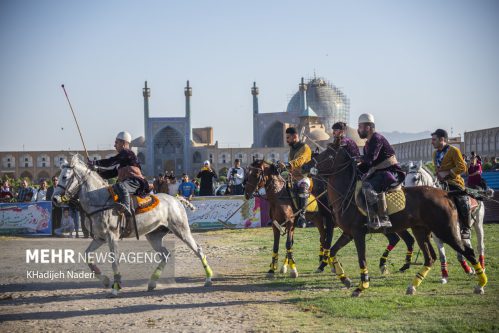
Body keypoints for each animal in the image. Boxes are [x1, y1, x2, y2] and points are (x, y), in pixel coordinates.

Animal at [52, 154, 213, 294]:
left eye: (65, 177)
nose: (54, 199)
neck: (100, 200)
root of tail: (175, 199)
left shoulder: (112, 237)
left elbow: (114, 262)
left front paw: (116, 287)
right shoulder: (99, 238)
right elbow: (87, 255)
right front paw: (105, 280)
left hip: (181, 230)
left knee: (198, 250)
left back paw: (208, 279)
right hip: (154, 236)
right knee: (165, 255)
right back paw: (152, 282)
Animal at [308, 145, 488, 296]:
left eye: (328, 155)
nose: (305, 166)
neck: (348, 194)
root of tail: (446, 194)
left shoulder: (358, 234)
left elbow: (361, 258)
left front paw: (362, 286)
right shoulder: (348, 233)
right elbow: (332, 251)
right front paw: (344, 278)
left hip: (447, 230)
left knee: (469, 251)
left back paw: (480, 283)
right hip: (421, 231)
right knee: (430, 257)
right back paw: (413, 285)